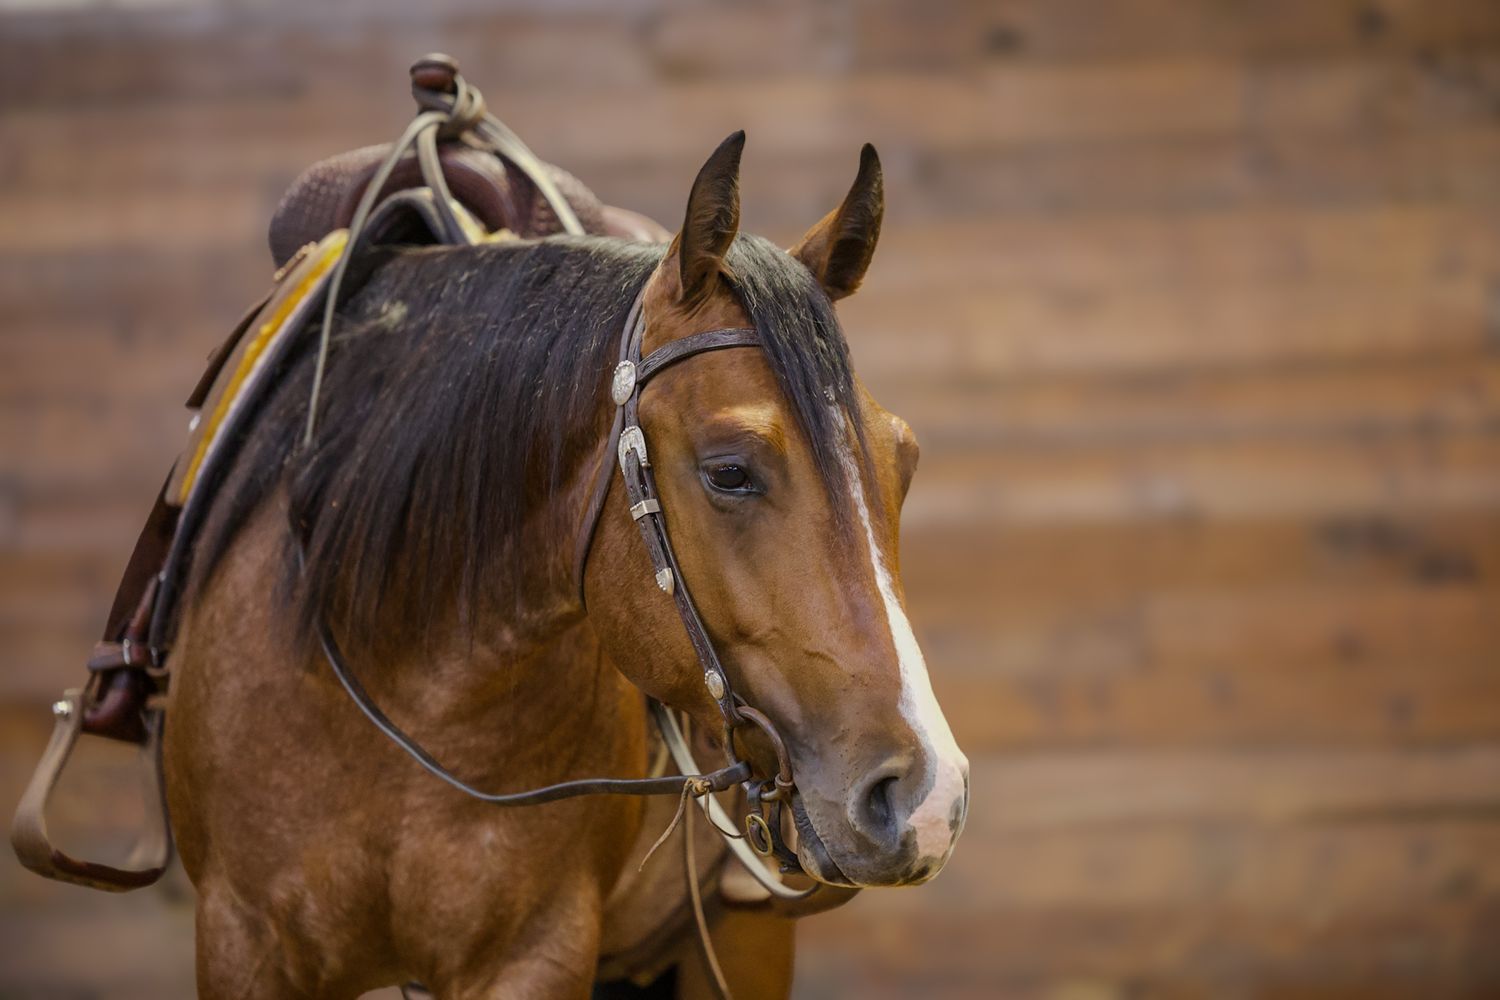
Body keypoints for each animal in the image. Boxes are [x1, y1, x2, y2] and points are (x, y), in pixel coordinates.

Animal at [162, 130, 969, 998]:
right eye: (729, 471)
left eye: (903, 460)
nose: (926, 799)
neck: (403, 686)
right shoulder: (243, 941)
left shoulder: (535, 955)